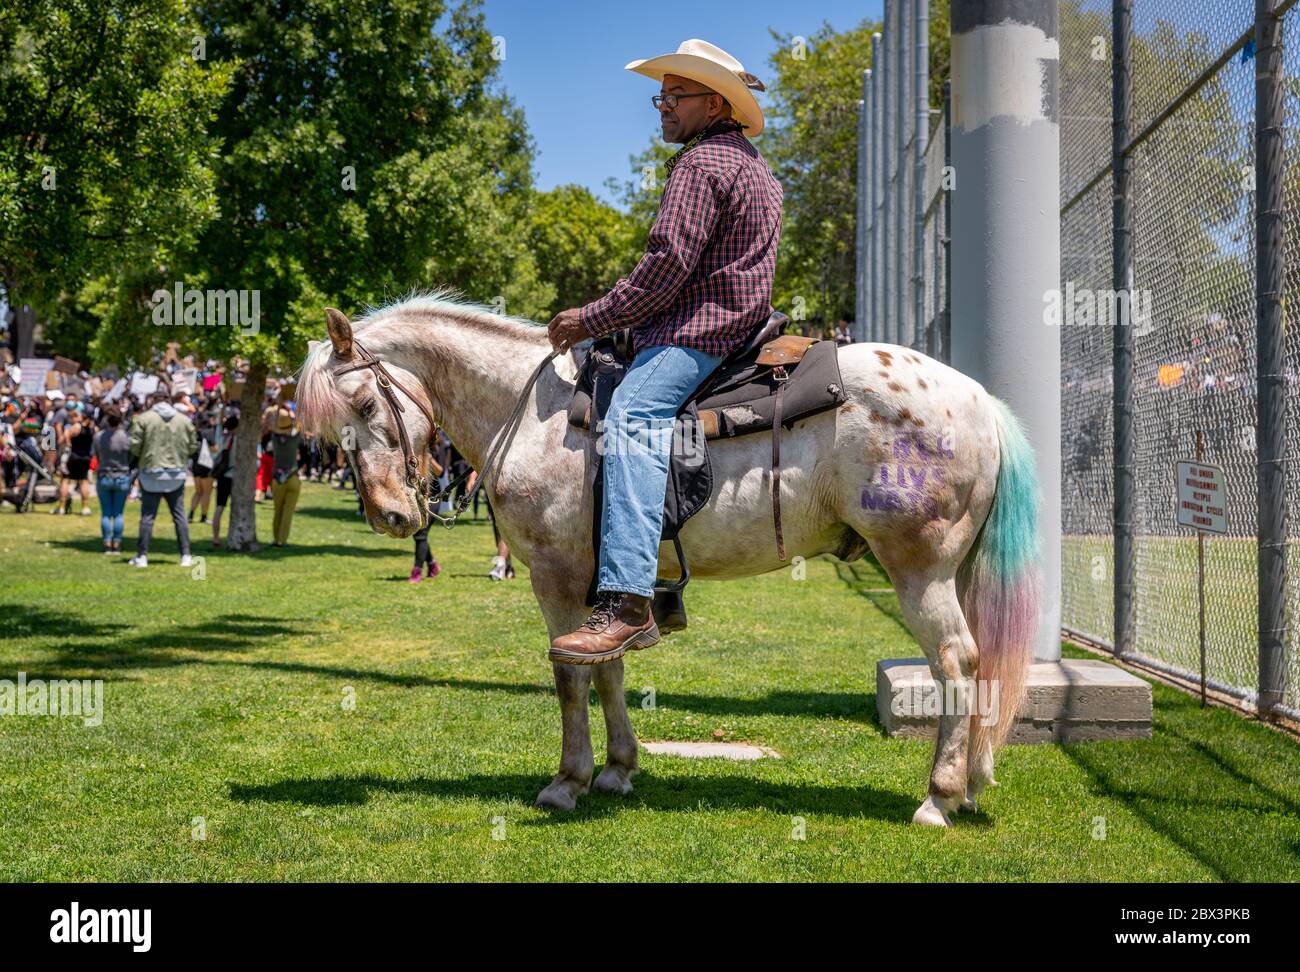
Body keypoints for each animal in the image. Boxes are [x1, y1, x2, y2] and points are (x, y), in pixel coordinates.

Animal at [299, 292, 1040, 826]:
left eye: (363, 402)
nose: (391, 516)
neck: (531, 410)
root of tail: (979, 400)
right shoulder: (604, 585)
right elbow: (609, 670)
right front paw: (617, 768)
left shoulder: (556, 575)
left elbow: (570, 676)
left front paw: (567, 780)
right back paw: (972, 780)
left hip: (919, 568)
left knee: (957, 663)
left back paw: (938, 796)